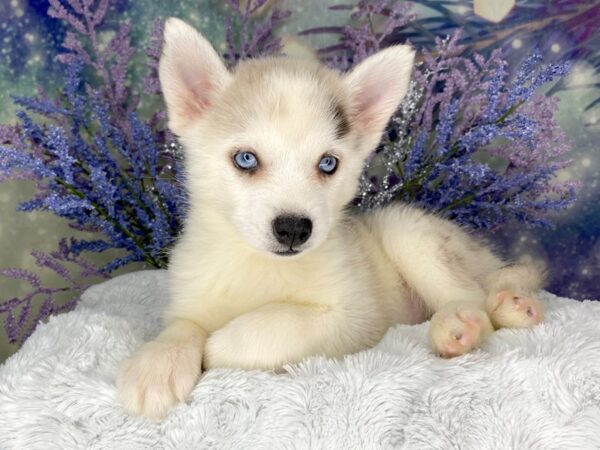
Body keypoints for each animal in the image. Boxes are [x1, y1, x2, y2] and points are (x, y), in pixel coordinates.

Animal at [116, 16, 544, 418]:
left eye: (327, 163)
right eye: (246, 158)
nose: (293, 229)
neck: (259, 265)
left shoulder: (355, 316)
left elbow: (274, 325)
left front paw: (220, 343)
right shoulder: (192, 293)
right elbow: (183, 326)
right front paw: (159, 363)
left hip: (408, 231)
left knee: (472, 298)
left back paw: (461, 325)